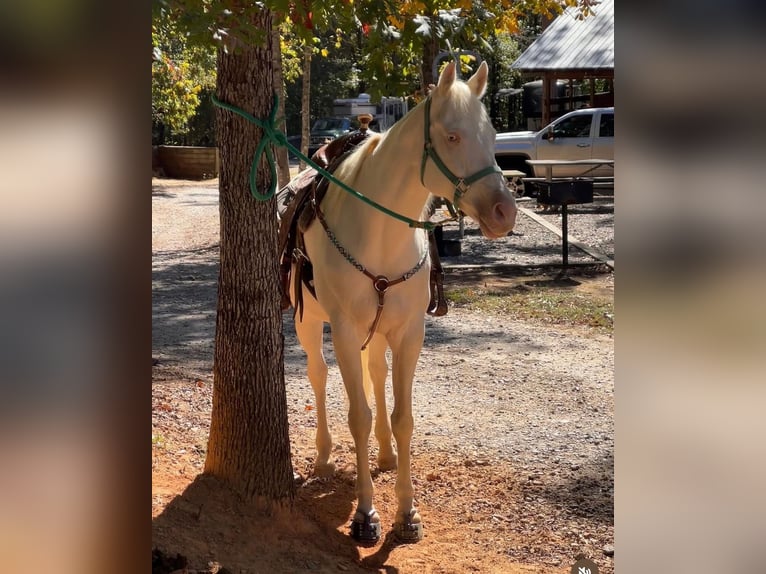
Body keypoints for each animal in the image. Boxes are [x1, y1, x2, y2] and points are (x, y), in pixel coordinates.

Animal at [289, 61, 517, 542]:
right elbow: (357, 414)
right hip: (309, 323)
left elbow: (402, 417)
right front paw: (366, 514)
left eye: (491, 135)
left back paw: (385, 454)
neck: (378, 230)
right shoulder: (343, 330)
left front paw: (407, 511)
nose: (505, 212)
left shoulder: (410, 333)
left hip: (379, 330)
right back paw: (324, 456)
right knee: (318, 375)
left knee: (376, 372)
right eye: (452, 136)